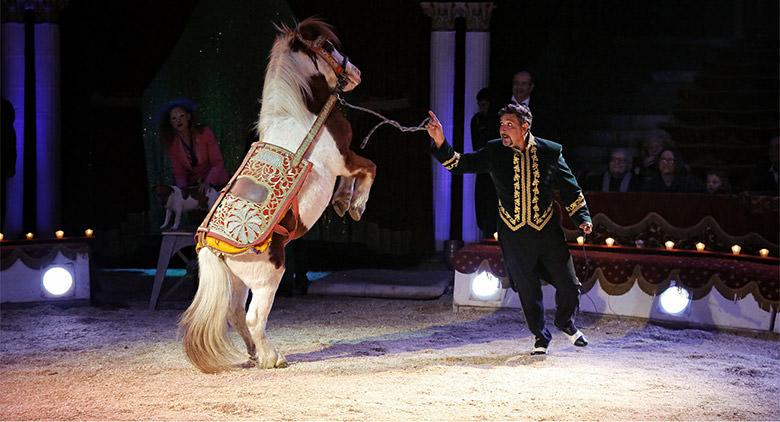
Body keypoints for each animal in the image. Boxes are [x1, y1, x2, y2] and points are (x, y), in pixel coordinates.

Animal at [180, 18, 374, 372]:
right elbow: (369, 169)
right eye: (328, 46)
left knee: (235, 315)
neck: (304, 118)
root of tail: (212, 247)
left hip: (238, 281)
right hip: (268, 277)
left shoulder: (343, 164)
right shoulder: (344, 158)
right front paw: (355, 204)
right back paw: (272, 358)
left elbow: (354, 177)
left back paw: (255, 354)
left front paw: (342, 201)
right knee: (253, 318)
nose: (356, 72)